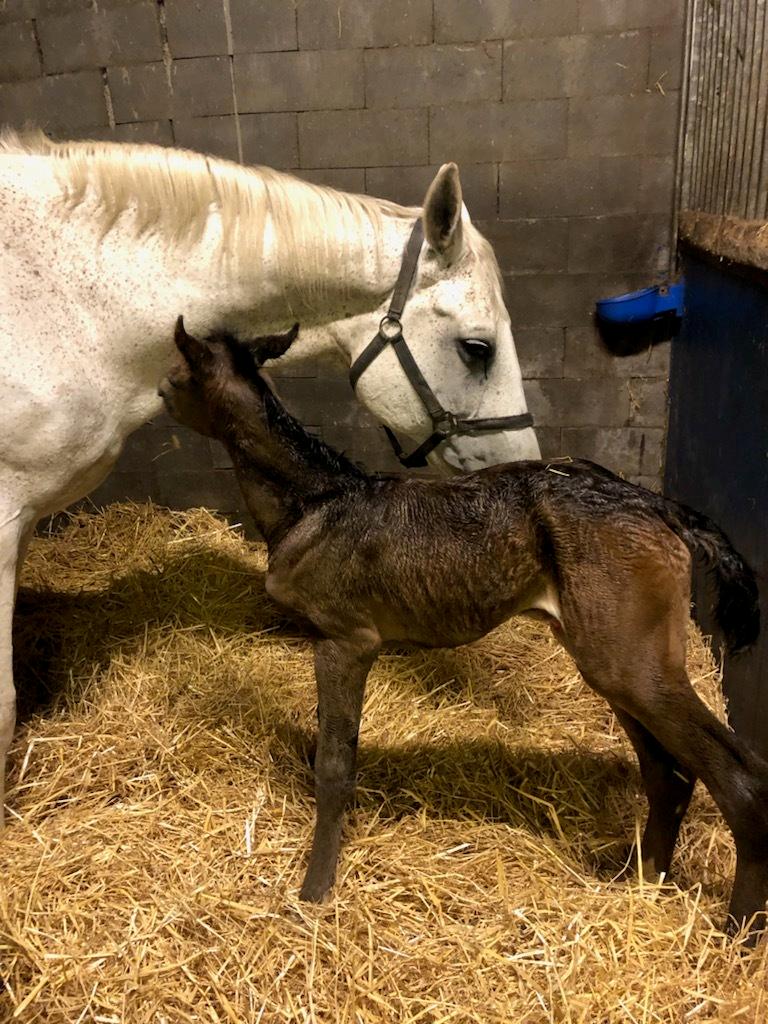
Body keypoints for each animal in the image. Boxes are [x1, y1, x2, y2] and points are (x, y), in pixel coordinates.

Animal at [159, 319, 765, 942]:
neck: (314, 502)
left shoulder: (345, 641)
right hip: (617, 657)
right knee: (669, 774)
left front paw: (315, 889)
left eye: (177, 377)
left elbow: (334, 766)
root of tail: (658, 507)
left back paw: (738, 929)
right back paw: (642, 879)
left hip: (632, 663)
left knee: (738, 779)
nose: (159, 393)